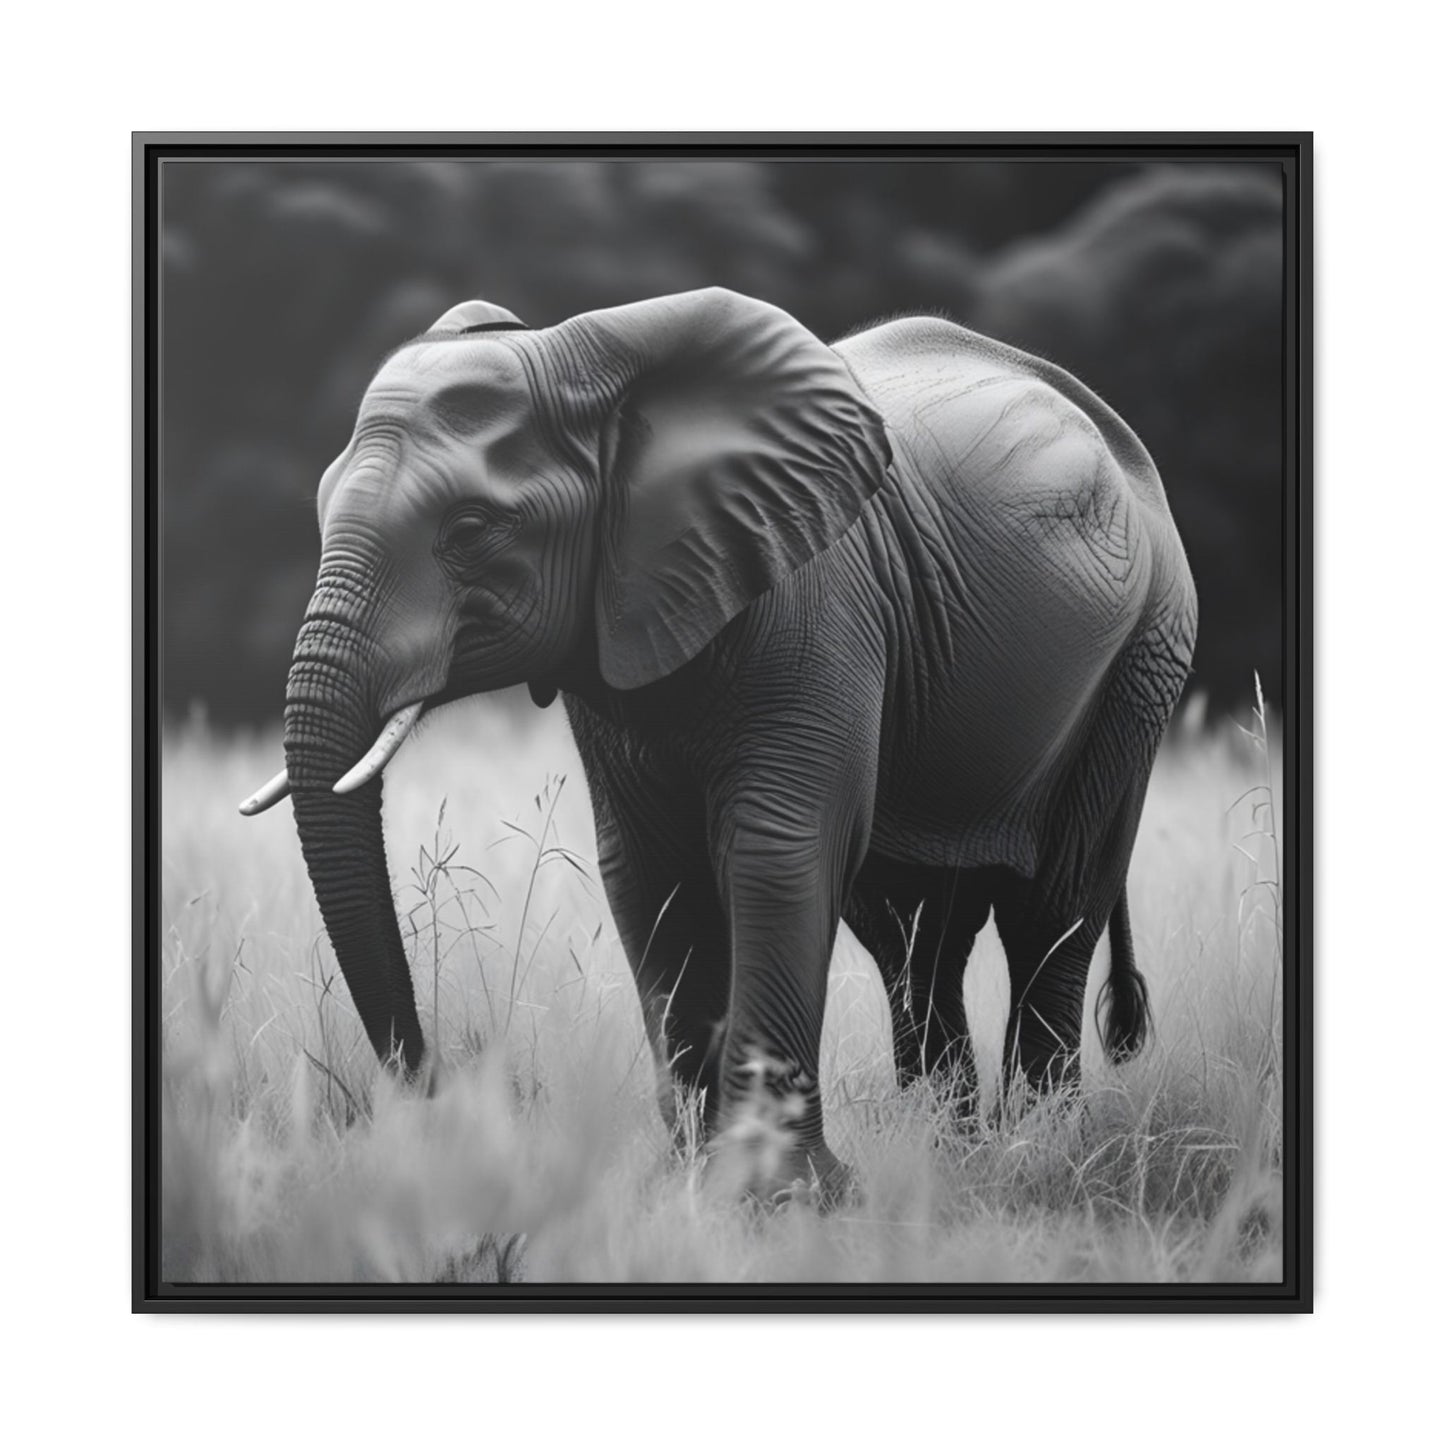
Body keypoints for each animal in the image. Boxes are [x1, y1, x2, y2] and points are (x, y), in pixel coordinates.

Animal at [241, 287, 1197, 1202]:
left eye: (471, 529)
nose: (443, 1099)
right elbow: (646, 870)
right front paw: (691, 1184)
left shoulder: (815, 600)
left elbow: (776, 850)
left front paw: (779, 1198)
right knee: (912, 932)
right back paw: (949, 1150)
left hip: (1143, 658)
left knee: (1053, 907)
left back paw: (1037, 1151)